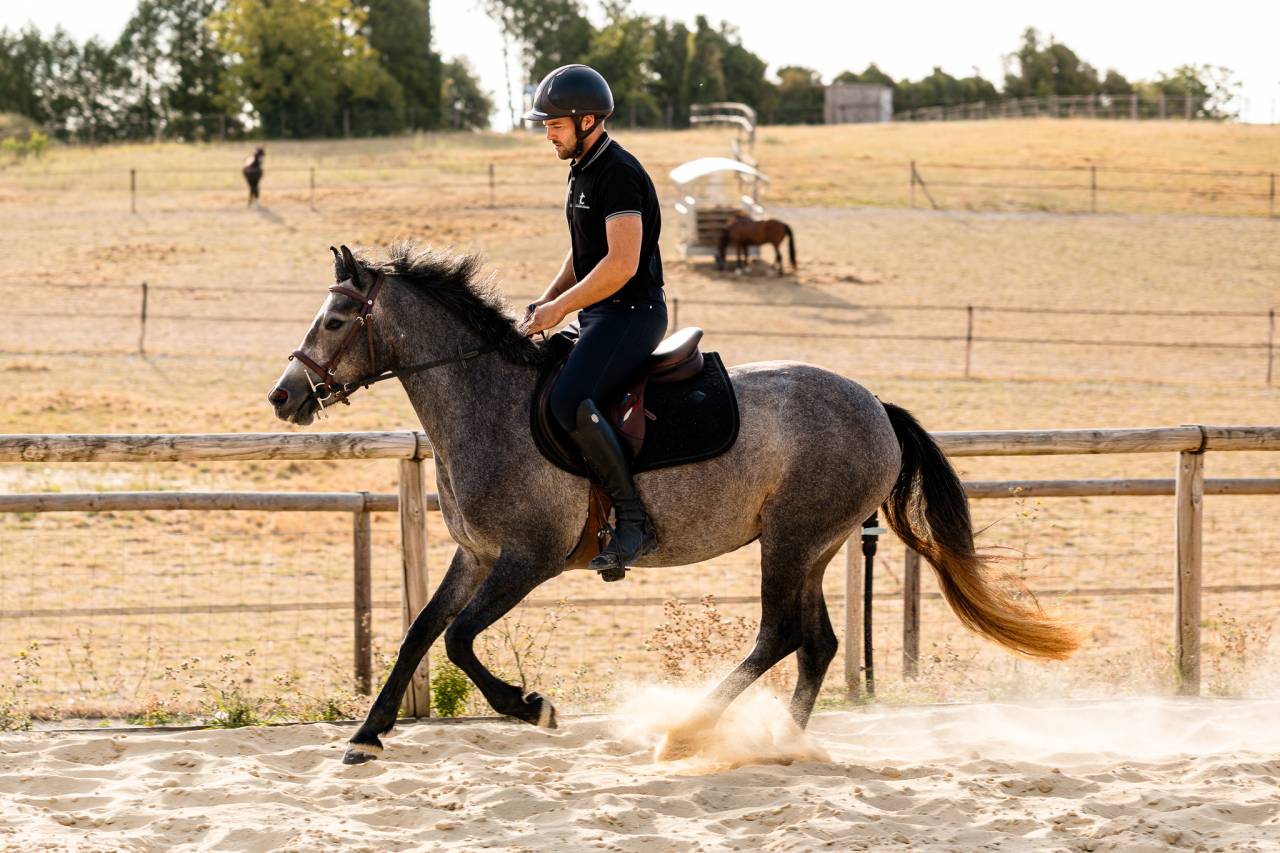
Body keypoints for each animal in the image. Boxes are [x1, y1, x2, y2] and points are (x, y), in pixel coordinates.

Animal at [268, 241, 1078, 766]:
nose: (283, 395)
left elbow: (461, 640)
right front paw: (366, 734)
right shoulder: (476, 555)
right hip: (812, 546)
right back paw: (781, 745)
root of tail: (875, 405)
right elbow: (420, 634)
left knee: (779, 634)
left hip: (791, 540)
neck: (483, 401)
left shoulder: (528, 559)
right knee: (815, 642)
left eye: (335, 321)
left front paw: (533, 706)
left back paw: (686, 732)